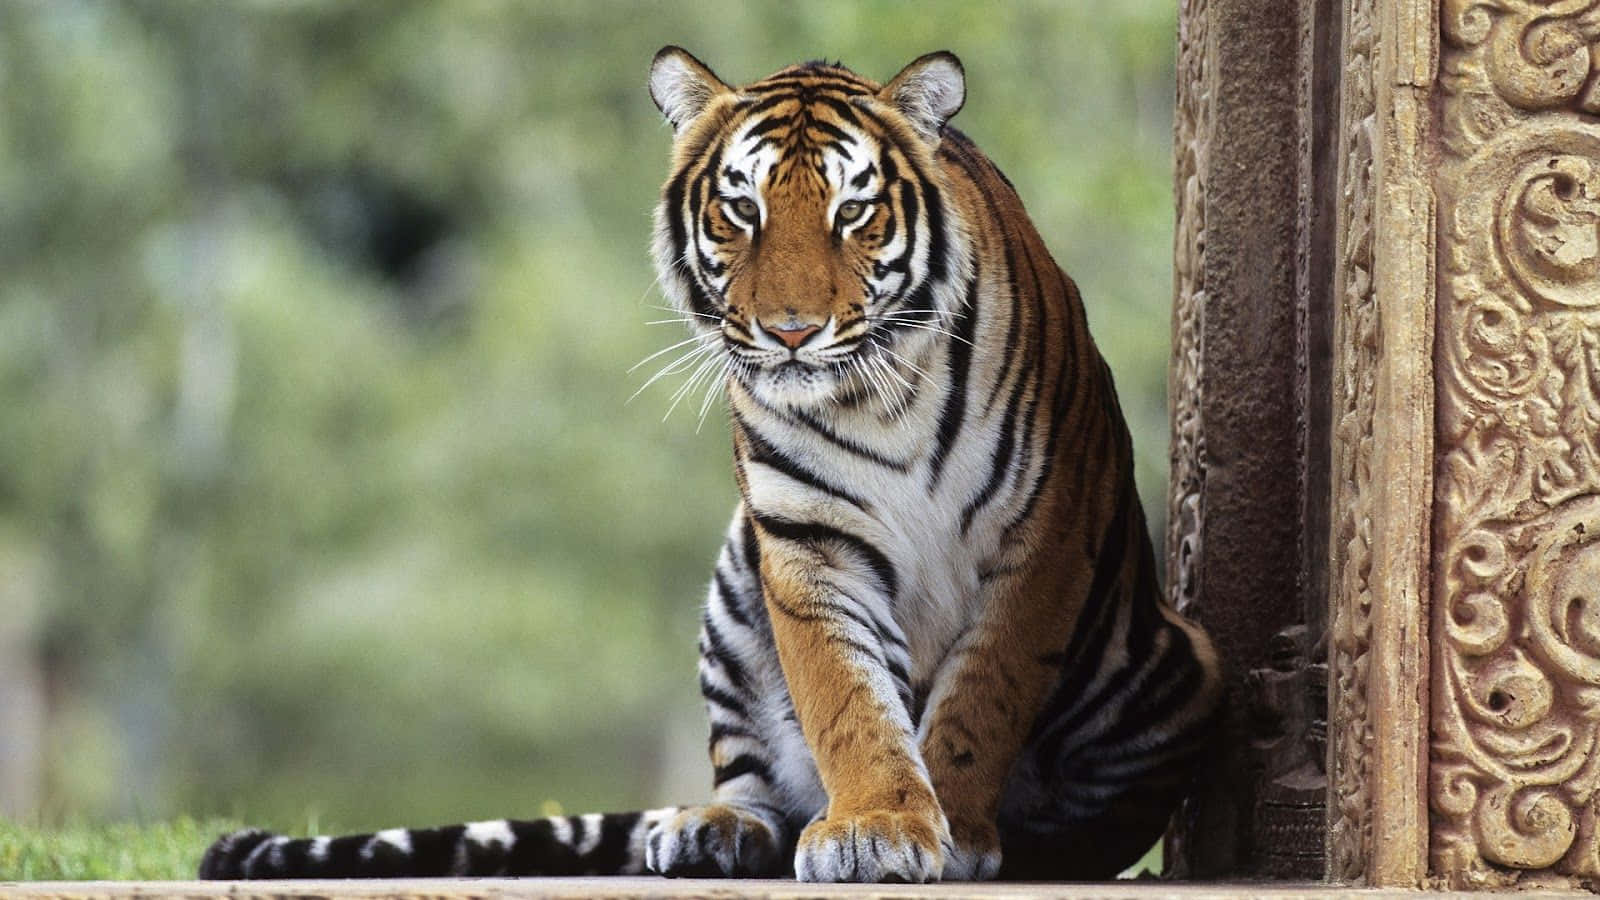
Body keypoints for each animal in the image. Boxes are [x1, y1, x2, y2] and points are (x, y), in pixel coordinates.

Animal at [199, 47, 1222, 884]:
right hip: (736, 583)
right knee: (756, 780)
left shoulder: (1042, 538)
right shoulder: (806, 544)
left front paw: (952, 828)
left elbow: (982, 699)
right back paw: (713, 830)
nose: (791, 331)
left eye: (854, 211)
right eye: (742, 208)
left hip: (1180, 664)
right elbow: (847, 699)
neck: (879, 398)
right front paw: (879, 825)